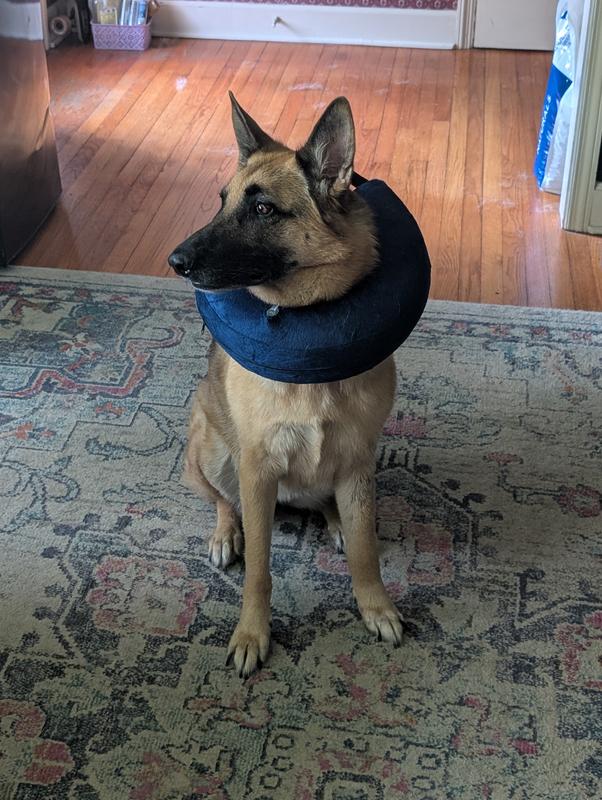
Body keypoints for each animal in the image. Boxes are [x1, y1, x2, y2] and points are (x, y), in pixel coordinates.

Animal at [168, 93, 403, 677]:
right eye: (222, 201)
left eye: (263, 210)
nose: (175, 261)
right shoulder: (257, 472)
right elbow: (260, 568)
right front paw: (253, 633)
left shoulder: (359, 462)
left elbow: (366, 549)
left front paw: (375, 605)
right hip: (212, 454)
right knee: (223, 502)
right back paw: (226, 534)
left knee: (330, 506)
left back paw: (334, 519)